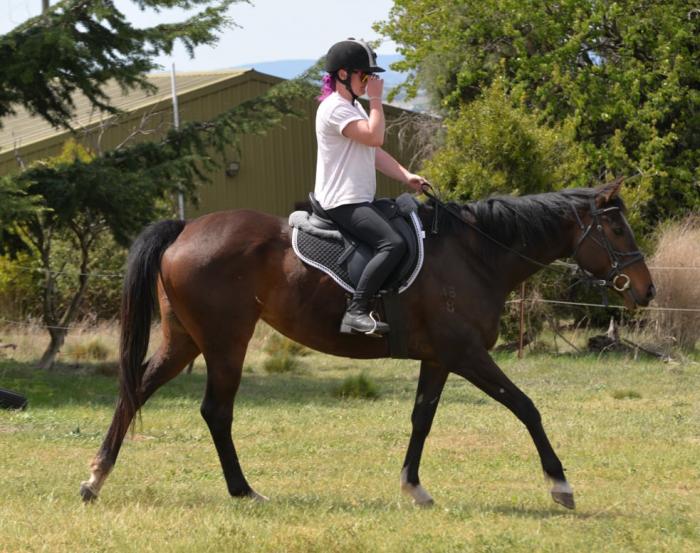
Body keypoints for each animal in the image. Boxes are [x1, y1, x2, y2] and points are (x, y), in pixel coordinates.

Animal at [80, 179, 655, 510]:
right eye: (618, 231)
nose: (646, 291)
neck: (475, 254)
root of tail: (184, 229)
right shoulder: (467, 355)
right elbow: (526, 407)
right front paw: (560, 485)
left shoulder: (439, 358)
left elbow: (422, 419)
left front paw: (413, 487)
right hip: (225, 341)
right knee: (215, 412)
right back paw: (242, 490)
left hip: (185, 340)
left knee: (135, 391)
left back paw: (95, 479)